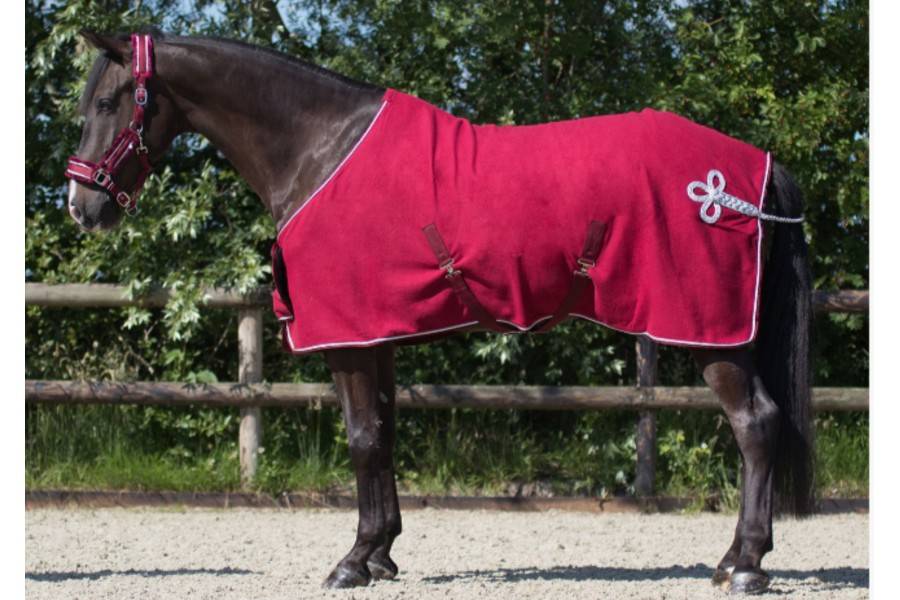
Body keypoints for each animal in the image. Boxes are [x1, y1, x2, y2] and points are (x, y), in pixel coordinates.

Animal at [66, 30, 813, 594]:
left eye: (106, 99)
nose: (82, 208)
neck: (319, 148)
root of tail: (751, 171)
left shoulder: (350, 339)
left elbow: (362, 439)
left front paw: (351, 563)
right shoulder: (378, 335)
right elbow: (385, 435)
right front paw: (381, 553)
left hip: (713, 334)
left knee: (755, 425)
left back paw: (746, 566)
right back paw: (733, 560)